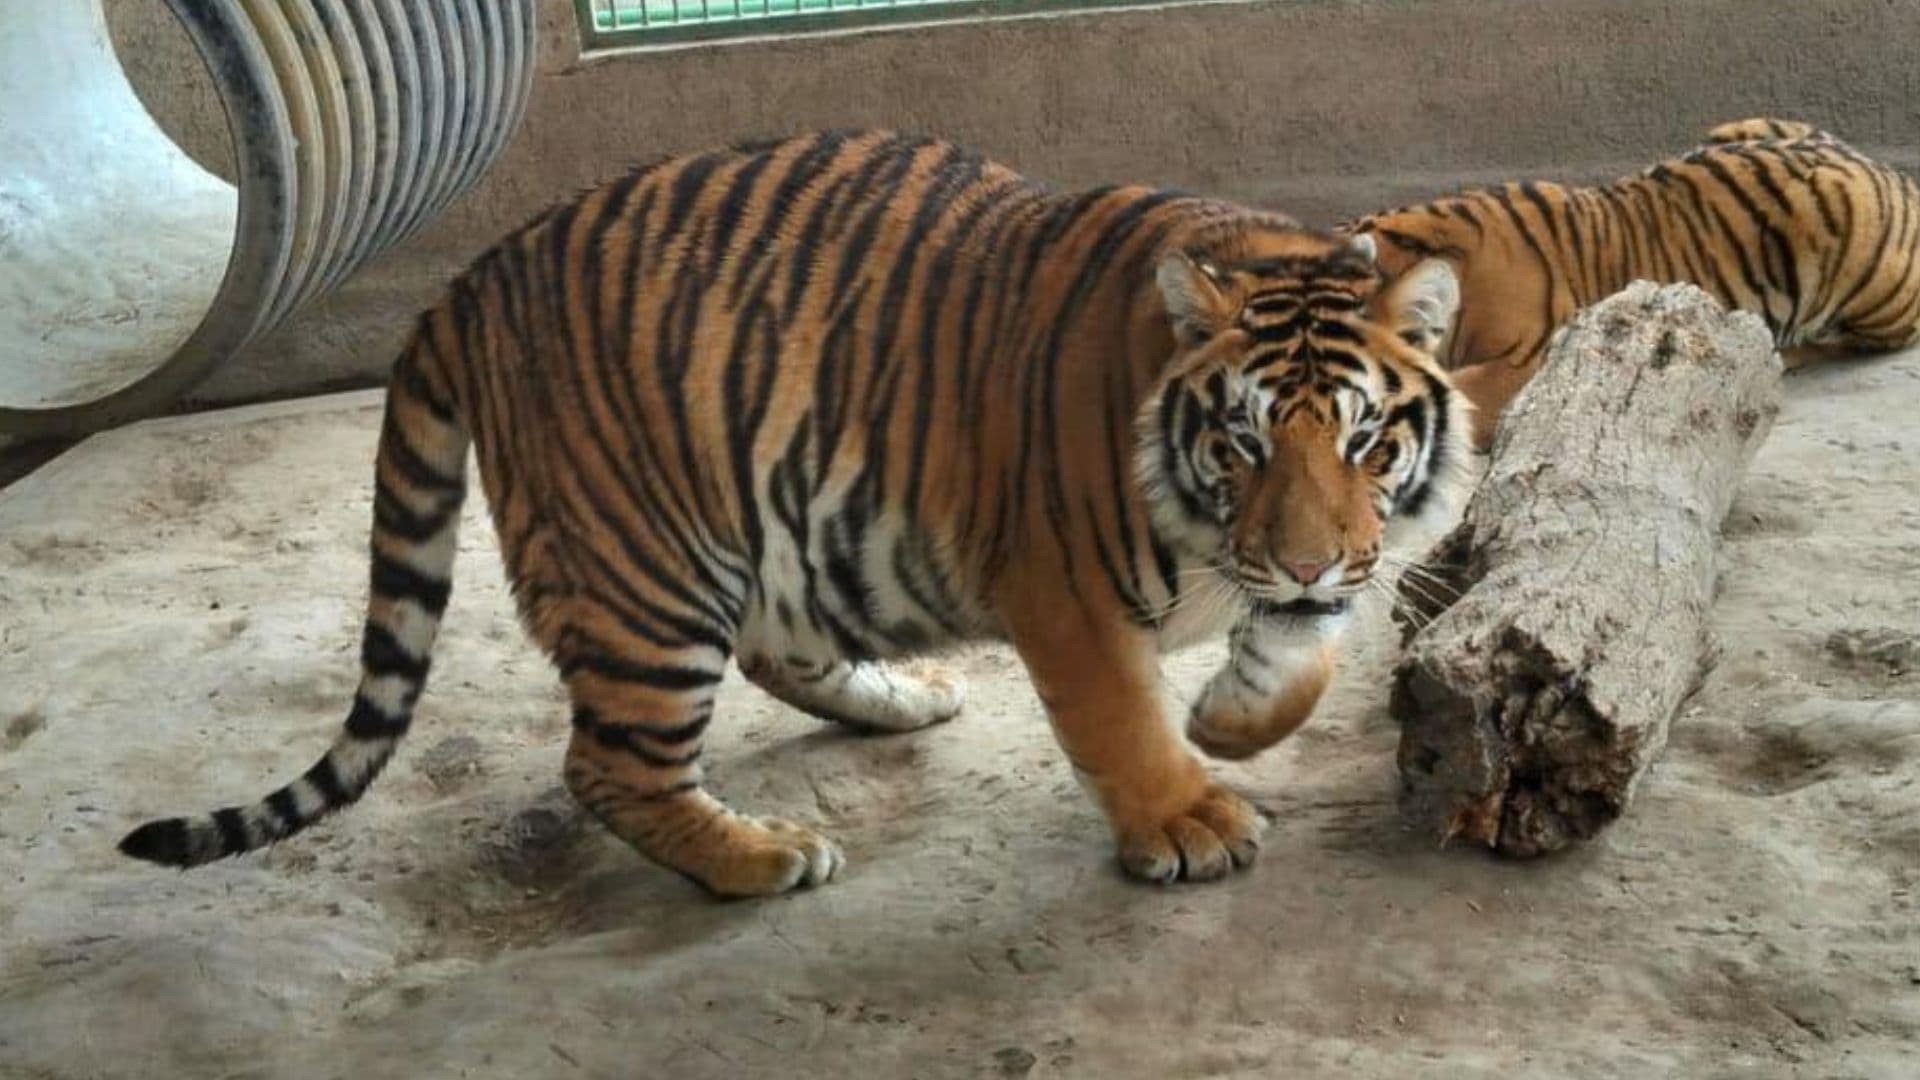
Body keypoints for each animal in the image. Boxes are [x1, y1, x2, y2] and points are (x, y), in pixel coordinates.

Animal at [118, 130, 1471, 898]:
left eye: (1365, 440)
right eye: (1242, 442)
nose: (1307, 564)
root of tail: (468, 283)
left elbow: (1303, 661)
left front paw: (1233, 719)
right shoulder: (1061, 588)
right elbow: (1121, 721)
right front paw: (1185, 820)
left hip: (776, 514)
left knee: (775, 649)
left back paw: (903, 699)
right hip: (649, 571)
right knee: (606, 764)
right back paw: (758, 858)